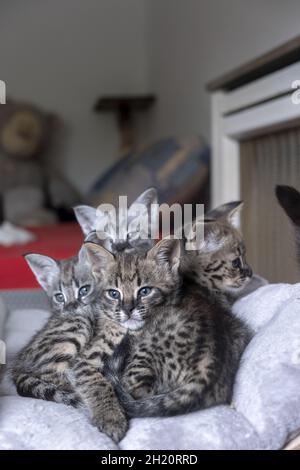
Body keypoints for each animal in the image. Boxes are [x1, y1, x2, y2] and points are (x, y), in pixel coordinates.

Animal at [85, 239, 250, 418]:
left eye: (145, 291)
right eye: (114, 294)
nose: (128, 310)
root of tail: (207, 371)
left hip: (143, 354)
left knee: (136, 391)